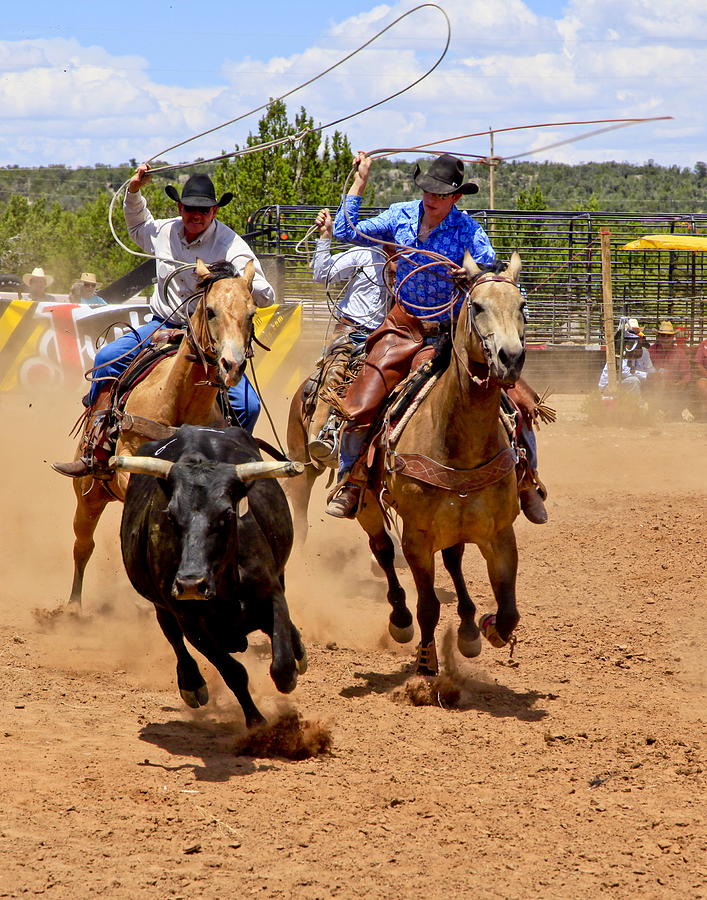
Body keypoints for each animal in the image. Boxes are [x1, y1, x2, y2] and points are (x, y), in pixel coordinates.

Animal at [63, 260, 258, 612]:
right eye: (210, 311)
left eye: (251, 314)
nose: (232, 365)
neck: (177, 399)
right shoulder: (129, 464)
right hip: (88, 492)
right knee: (83, 545)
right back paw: (73, 606)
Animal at [356, 250, 528, 672]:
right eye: (477, 306)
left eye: (521, 306)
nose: (510, 358)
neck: (460, 445)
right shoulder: (417, 537)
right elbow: (429, 606)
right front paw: (426, 666)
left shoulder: (500, 534)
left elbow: (509, 610)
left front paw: (487, 627)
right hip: (367, 504)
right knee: (383, 550)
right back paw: (400, 619)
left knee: (452, 559)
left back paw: (467, 628)